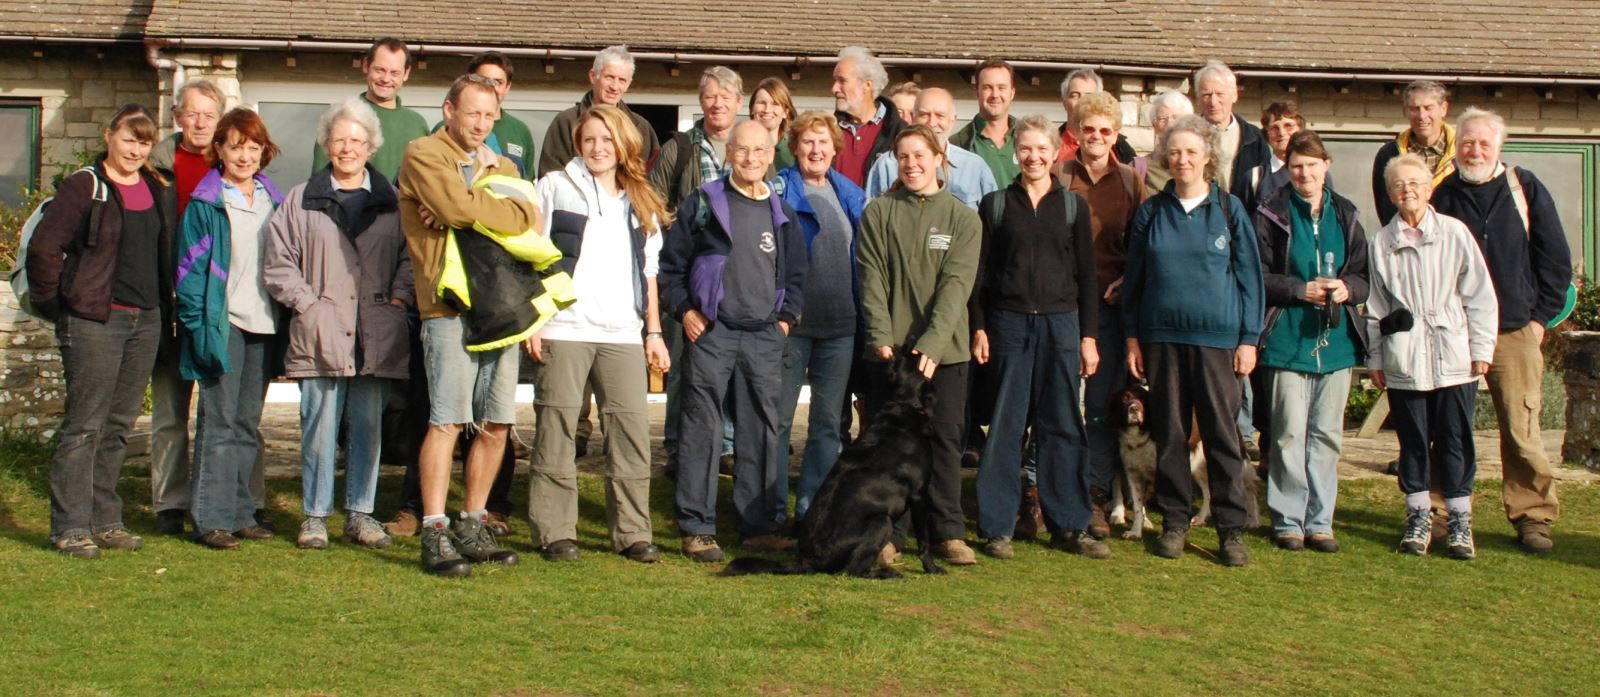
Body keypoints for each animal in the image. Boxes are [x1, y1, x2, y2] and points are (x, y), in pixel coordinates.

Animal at [729, 353, 940, 578]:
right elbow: (924, 541)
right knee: (852, 570)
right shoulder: (919, 495)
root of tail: (810, 559)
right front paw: (932, 568)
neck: (902, 405)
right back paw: (885, 573)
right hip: (881, 522)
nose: (906, 351)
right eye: (916, 366)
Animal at [1107, 380, 1254, 540]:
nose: (1134, 409)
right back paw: (1201, 517)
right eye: (1125, 398)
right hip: (1197, 467)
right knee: (1208, 492)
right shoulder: (1134, 474)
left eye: (1143, 400)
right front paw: (1136, 531)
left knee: (1244, 490)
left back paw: (1249, 521)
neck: (1142, 435)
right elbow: (1138, 506)